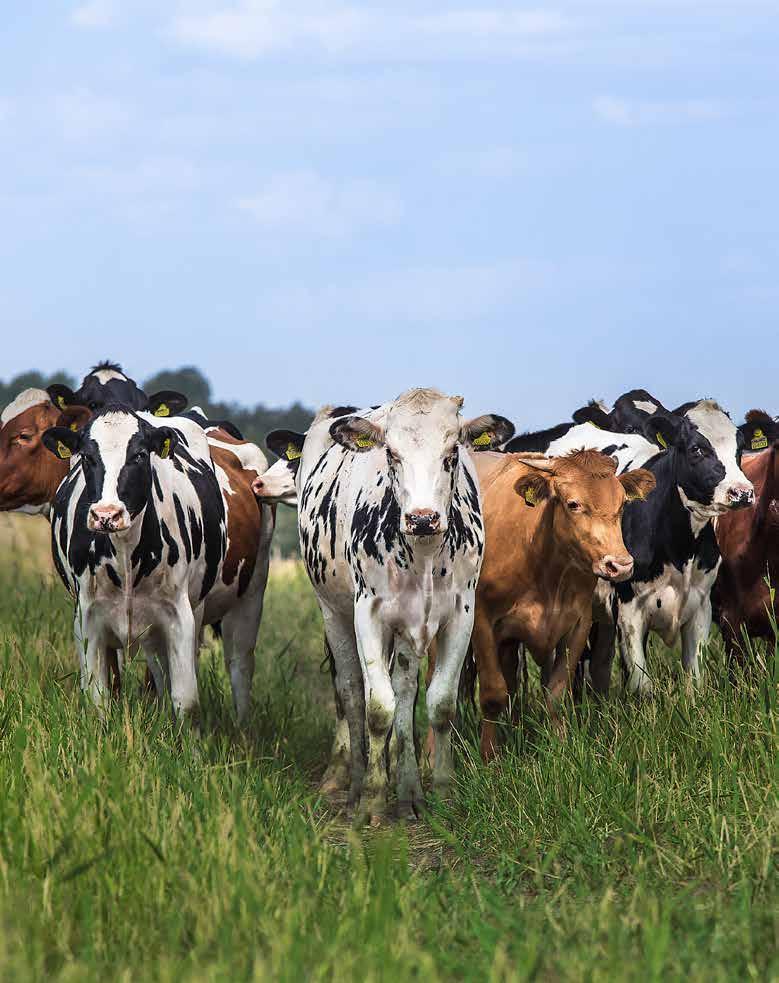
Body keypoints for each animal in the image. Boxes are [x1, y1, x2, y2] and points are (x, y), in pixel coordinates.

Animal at [43, 404, 225, 720]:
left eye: (139, 455)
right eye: (87, 456)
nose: (107, 514)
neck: (126, 553)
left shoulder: (178, 614)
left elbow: (185, 699)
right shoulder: (88, 616)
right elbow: (98, 698)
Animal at [292, 388, 512, 828]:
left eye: (452, 452)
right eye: (391, 454)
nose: (423, 518)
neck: (424, 552)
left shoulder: (460, 615)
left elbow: (438, 704)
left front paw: (442, 789)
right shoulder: (369, 614)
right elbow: (378, 708)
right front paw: (374, 799)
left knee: (406, 694)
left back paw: (409, 792)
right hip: (334, 612)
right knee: (351, 692)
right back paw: (356, 785)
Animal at [472, 448, 656, 760]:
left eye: (621, 504)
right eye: (573, 504)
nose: (619, 565)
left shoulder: (578, 623)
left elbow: (556, 694)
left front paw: (560, 747)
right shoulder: (481, 621)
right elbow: (493, 693)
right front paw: (489, 756)